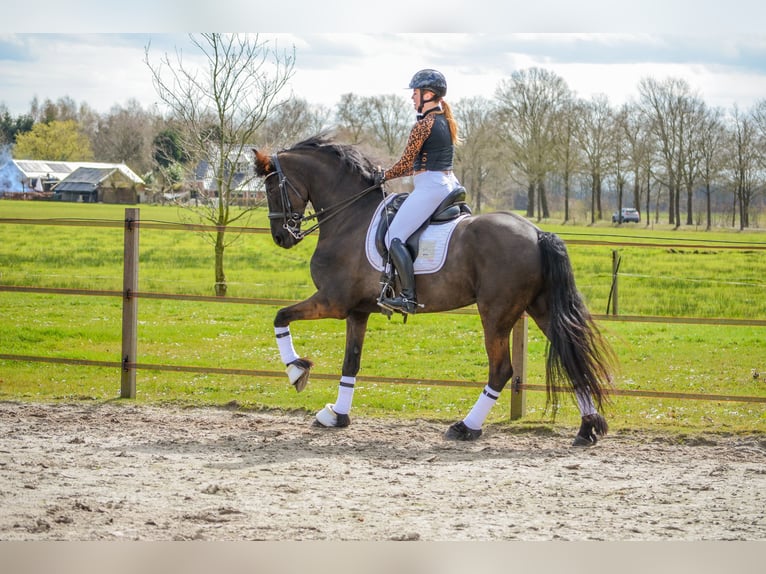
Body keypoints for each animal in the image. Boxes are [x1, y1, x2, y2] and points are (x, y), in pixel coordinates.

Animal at [252, 135, 616, 446]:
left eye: (270, 187)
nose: (281, 237)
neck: (349, 218)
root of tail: (538, 232)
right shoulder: (357, 311)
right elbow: (350, 363)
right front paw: (337, 416)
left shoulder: (333, 302)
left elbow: (279, 316)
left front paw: (297, 371)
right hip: (540, 308)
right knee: (571, 357)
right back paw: (587, 429)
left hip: (497, 313)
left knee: (501, 370)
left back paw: (466, 427)